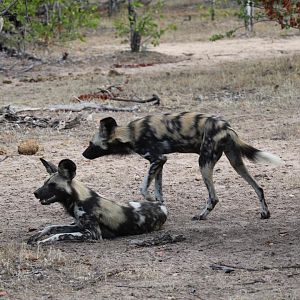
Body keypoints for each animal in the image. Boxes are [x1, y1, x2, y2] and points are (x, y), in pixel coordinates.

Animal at [27, 158, 168, 245]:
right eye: (44, 183)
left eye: (52, 185)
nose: (35, 193)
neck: (78, 200)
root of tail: (161, 205)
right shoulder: (79, 225)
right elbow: (51, 227)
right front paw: (36, 236)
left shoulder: (93, 234)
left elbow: (60, 235)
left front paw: (42, 241)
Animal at [82, 111, 282, 219]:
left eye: (91, 144)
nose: (83, 154)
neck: (130, 133)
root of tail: (226, 126)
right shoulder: (160, 162)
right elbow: (158, 190)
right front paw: (159, 205)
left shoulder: (157, 159)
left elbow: (143, 188)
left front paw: (150, 200)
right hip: (236, 162)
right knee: (258, 188)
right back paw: (265, 213)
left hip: (203, 163)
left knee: (214, 197)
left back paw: (201, 216)